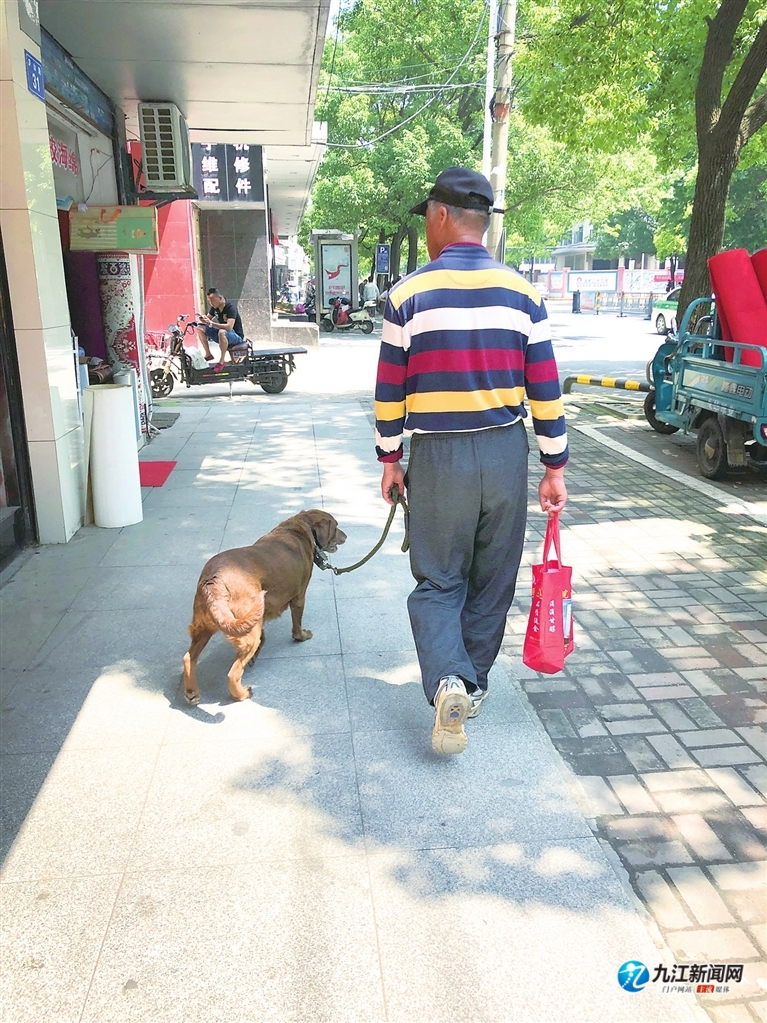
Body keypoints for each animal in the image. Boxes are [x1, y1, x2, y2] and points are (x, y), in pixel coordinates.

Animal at [183, 509, 345, 707]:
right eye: (336, 526)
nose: (346, 536)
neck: (299, 528)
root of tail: (214, 581)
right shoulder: (299, 597)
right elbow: (296, 625)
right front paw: (302, 636)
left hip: (204, 628)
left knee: (188, 658)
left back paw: (192, 692)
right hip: (243, 632)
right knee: (232, 674)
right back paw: (242, 694)